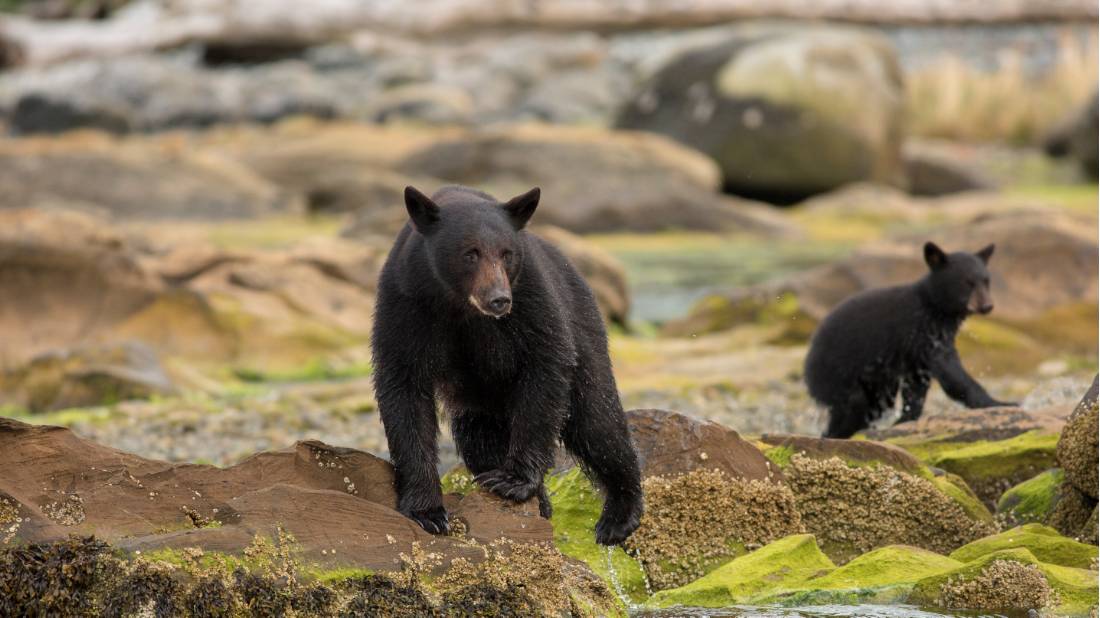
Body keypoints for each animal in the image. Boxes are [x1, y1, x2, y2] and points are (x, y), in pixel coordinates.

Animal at [371, 183, 642, 543]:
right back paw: (542, 504)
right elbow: (403, 388)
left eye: (507, 253)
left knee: (597, 421)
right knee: (479, 439)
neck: (461, 309)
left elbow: (545, 364)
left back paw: (619, 516)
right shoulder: (406, 305)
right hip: (478, 404)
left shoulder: (531, 300)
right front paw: (426, 510)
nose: (498, 299)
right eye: (470, 253)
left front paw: (513, 481)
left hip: (583, 328)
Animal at [805, 240, 1016, 437]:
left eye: (986, 281)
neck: (934, 306)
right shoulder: (923, 333)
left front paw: (905, 420)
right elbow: (951, 373)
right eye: (967, 282)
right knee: (853, 408)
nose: (987, 306)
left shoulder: (916, 355)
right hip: (837, 376)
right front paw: (1000, 402)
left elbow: (916, 388)